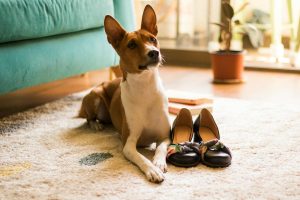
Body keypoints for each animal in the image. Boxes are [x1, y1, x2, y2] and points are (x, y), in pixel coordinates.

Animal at [78, 4, 170, 183]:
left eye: (152, 39)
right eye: (132, 45)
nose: (154, 52)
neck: (145, 88)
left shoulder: (165, 135)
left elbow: (160, 149)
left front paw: (159, 162)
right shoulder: (128, 144)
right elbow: (142, 158)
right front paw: (152, 169)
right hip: (95, 96)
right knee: (88, 118)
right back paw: (95, 124)